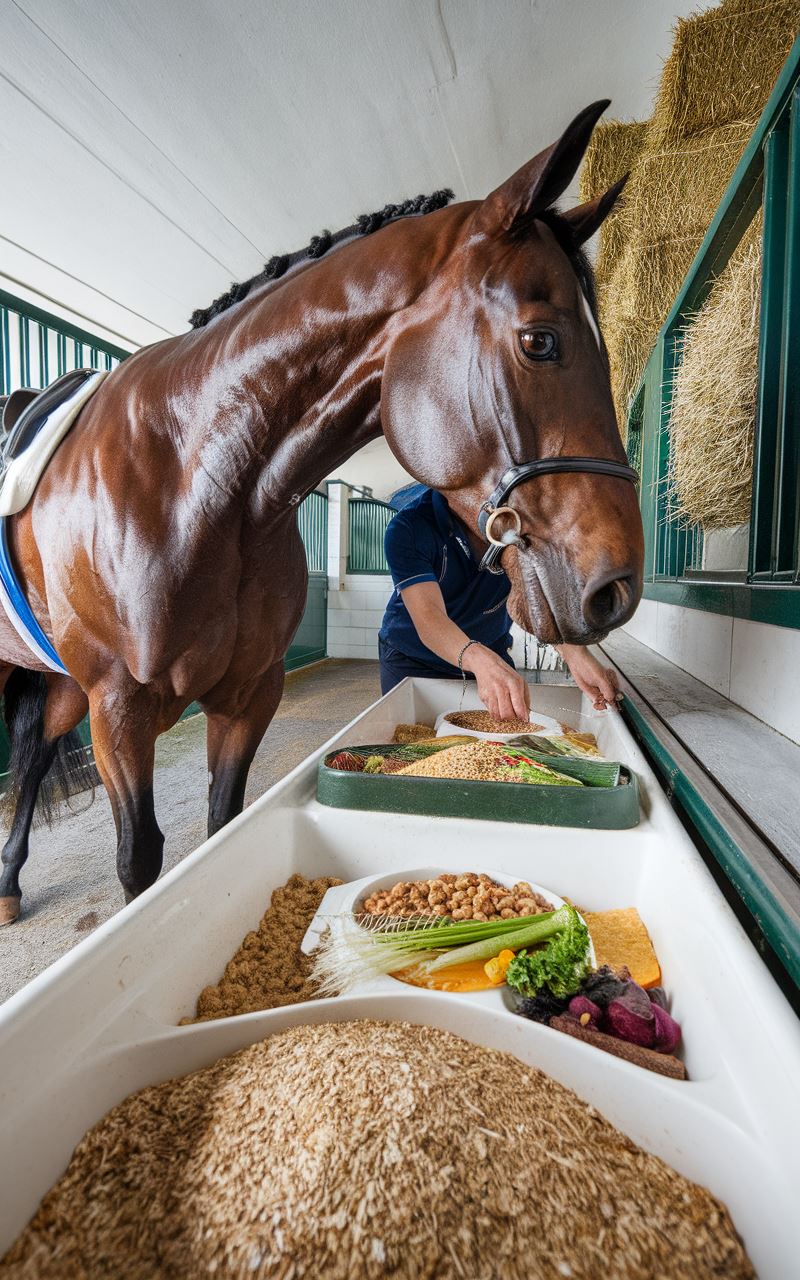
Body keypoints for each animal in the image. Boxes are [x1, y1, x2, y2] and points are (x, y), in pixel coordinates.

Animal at [0, 99, 642, 921]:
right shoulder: (118, 707)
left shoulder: (248, 695)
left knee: (35, 749)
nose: (617, 589)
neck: (193, 488)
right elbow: (140, 862)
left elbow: (220, 820)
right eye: (540, 341)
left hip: (54, 681)